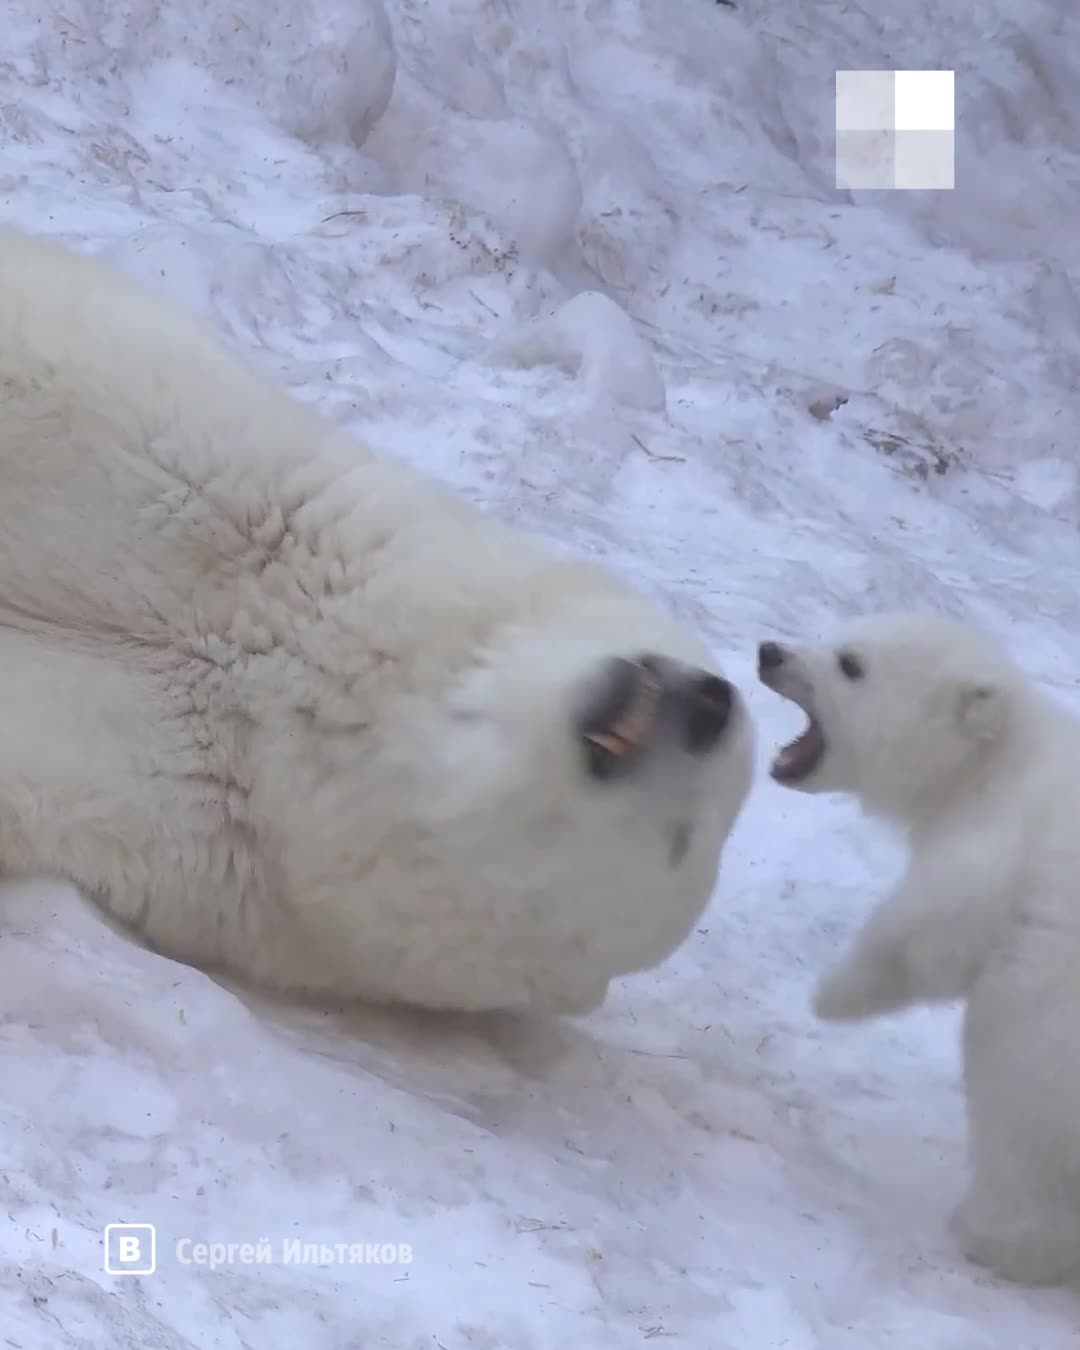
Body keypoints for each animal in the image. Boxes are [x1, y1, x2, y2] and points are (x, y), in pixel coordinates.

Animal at [756, 615, 1080, 1285]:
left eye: (851, 664)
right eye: (842, 635)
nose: (769, 651)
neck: (994, 759)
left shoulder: (998, 847)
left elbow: (925, 932)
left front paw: (830, 996)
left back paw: (992, 1237)